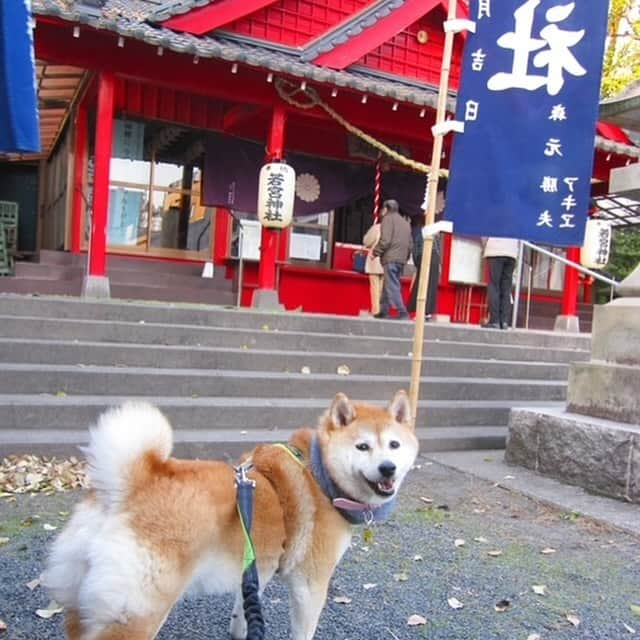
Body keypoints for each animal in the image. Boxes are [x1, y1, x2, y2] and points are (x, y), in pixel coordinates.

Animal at [42, 390, 418, 640]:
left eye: (394, 445)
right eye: (362, 447)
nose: (388, 468)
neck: (320, 474)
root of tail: (132, 483)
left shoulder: (254, 570)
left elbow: (242, 615)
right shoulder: (310, 583)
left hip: (83, 604)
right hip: (139, 613)